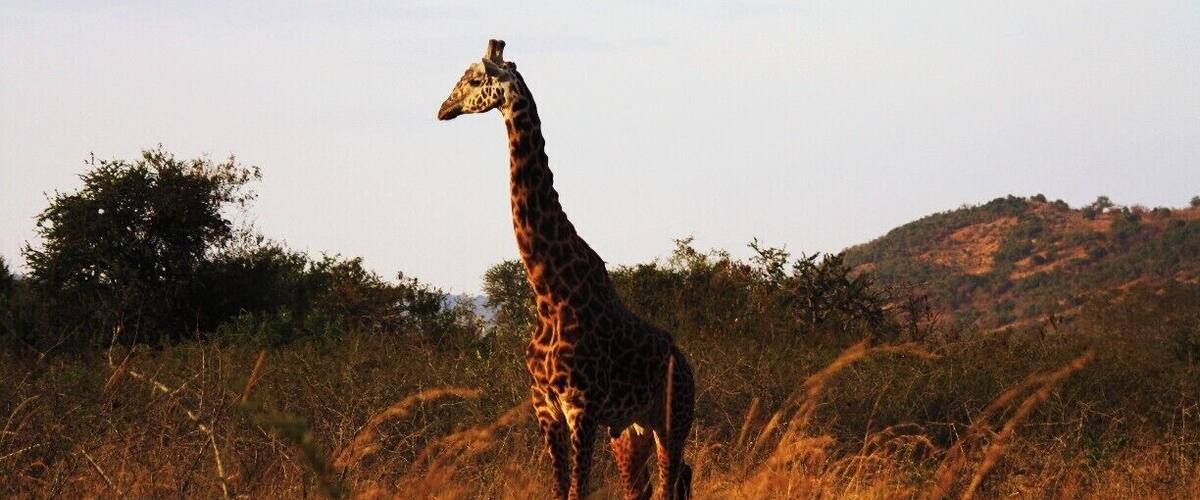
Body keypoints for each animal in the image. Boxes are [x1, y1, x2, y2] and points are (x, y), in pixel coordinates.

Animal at [438, 40, 695, 500]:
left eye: (474, 79)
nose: (442, 109)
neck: (549, 292)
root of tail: (688, 370)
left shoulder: (582, 408)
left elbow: (578, 490)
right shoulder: (545, 407)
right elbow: (560, 491)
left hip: (671, 423)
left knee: (672, 483)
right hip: (628, 431)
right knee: (652, 486)